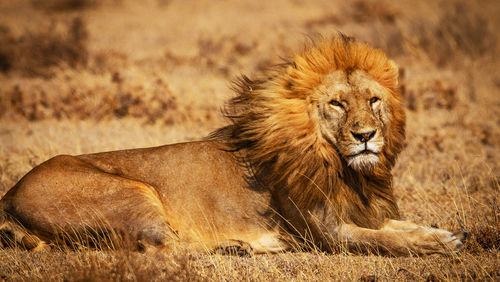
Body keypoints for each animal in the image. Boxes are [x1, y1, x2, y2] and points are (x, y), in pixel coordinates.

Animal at [0, 35, 462, 256]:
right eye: (337, 103)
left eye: (373, 100)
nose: (366, 135)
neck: (341, 168)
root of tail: (9, 194)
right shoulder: (326, 233)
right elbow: (384, 240)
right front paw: (433, 244)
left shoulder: (361, 212)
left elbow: (397, 226)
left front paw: (443, 233)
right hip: (133, 192)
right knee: (160, 247)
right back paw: (248, 246)